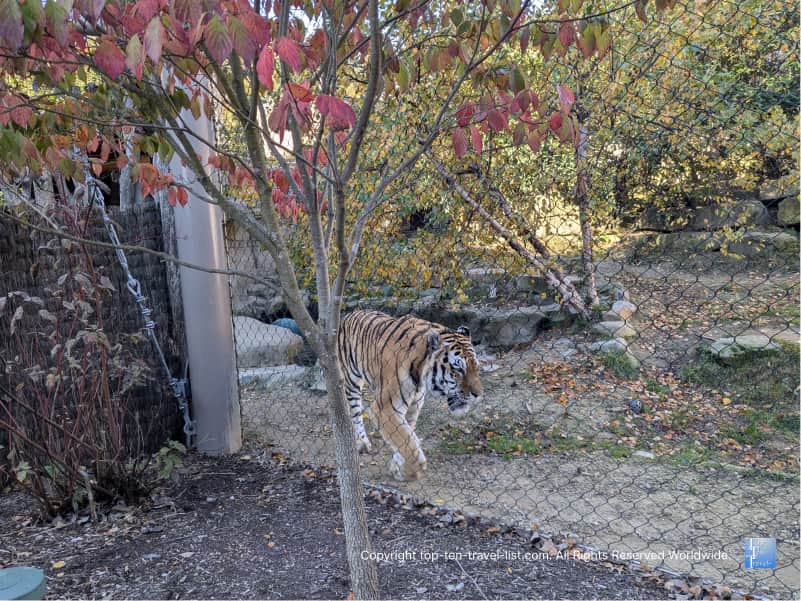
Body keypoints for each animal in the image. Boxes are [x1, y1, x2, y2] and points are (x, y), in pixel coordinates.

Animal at [337, 309, 483, 481]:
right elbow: (407, 443)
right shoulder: (385, 408)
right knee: (355, 412)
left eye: (476, 367)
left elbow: (407, 436)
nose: (479, 394)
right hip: (351, 380)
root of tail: (350, 314)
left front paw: (397, 465)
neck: (422, 377)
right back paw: (362, 442)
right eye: (458, 369)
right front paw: (406, 472)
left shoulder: (414, 405)